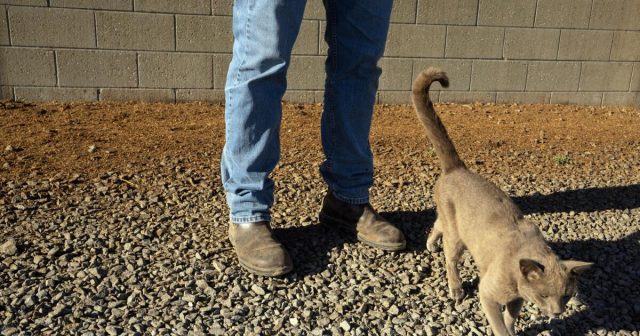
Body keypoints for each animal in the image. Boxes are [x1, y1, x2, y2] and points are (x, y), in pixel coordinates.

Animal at [412, 68, 592, 336]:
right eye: (545, 294)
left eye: (567, 296)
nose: (557, 312)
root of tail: (457, 168)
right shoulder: (487, 293)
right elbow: (499, 324)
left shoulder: (517, 299)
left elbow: (511, 316)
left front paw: (512, 326)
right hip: (457, 237)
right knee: (450, 258)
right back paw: (456, 288)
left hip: (453, 223)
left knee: (437, 224)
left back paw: (431, 243)